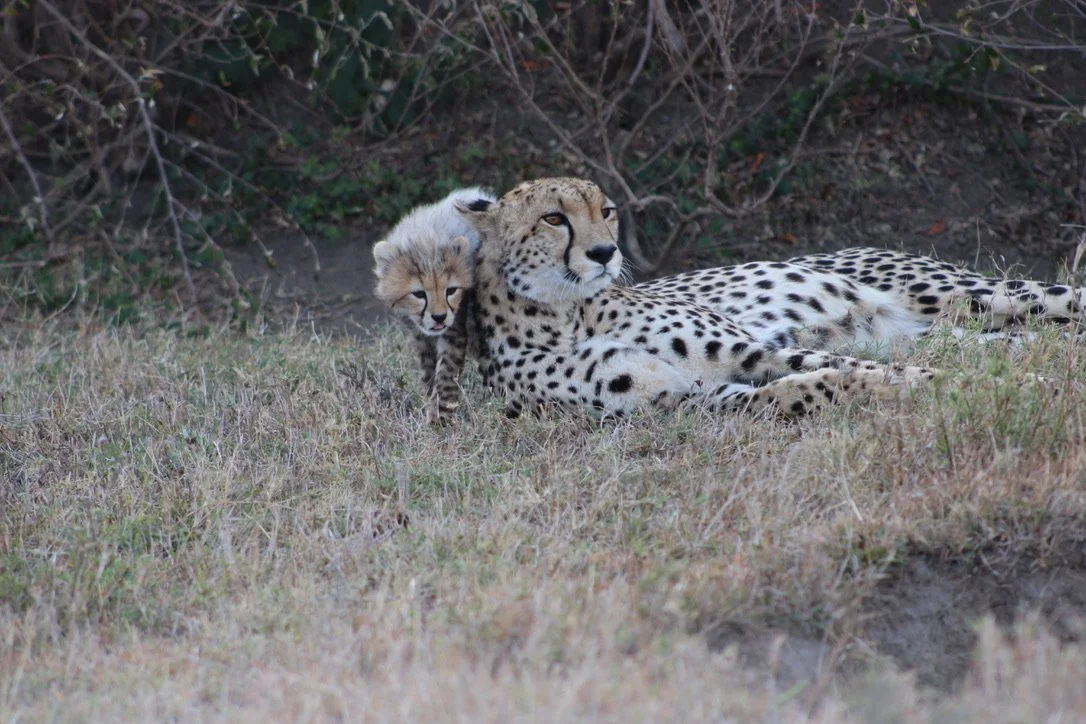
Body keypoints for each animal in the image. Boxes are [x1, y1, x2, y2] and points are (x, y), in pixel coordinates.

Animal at [372, 186, 495, 423]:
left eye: (451, 290)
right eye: (419, 294)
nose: (439, 317)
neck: (428, 236)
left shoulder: (455, 328)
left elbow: (446, 372)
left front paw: (441, 418)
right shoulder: (420, 334)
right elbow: (429, 372)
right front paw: (430, 404)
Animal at [453, 177, 936, 420]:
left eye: (605, 211)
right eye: (553, 218)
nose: (605, 252)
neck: (568, 311)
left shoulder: (745, 350)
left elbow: (842, 363)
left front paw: (918, 378)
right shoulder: (673, 398)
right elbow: (779, 393)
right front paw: (864, 389)